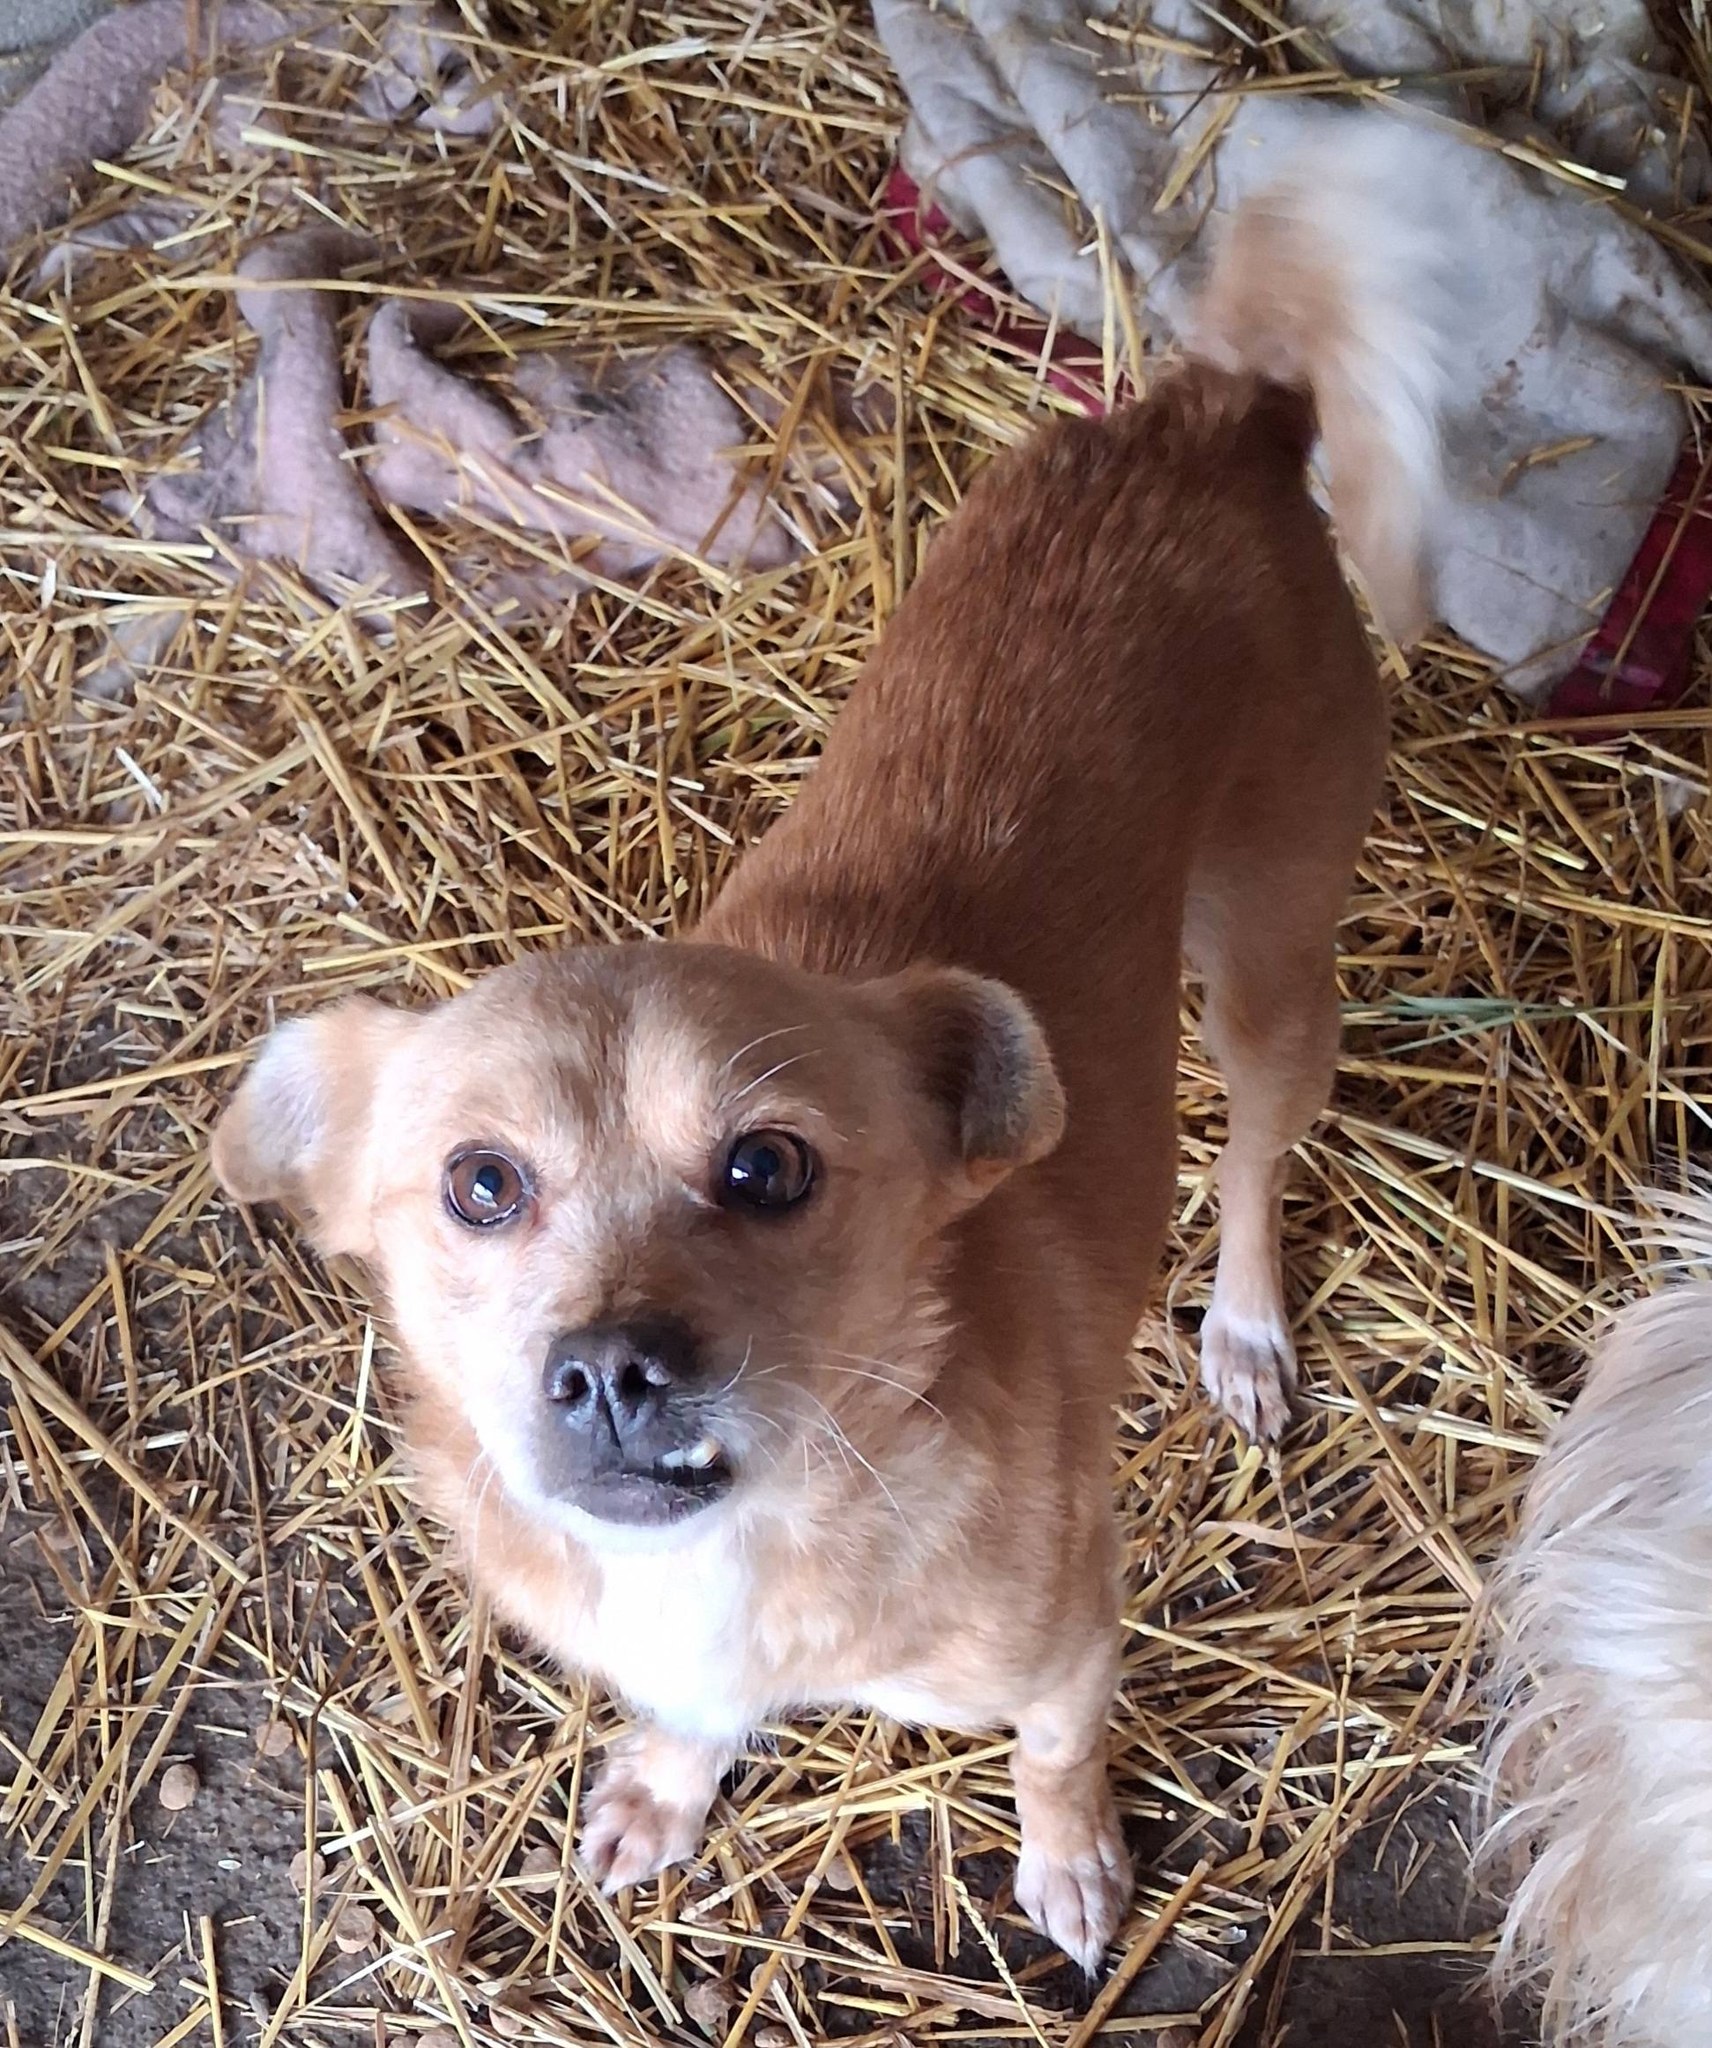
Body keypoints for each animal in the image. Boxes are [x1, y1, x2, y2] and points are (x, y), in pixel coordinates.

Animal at [210, 136, 1448, 1967]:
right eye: (480, 1184)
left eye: (766, 1164)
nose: (610, 1369)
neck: (754, 1535)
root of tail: (1207, 415)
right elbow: (681, 1722)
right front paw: (668, 1785)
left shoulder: (1075, 1635)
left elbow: (1057, 1752)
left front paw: (1068, 1861)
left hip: (1270, 968)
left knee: (1246, 1158)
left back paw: (1238, 1333)